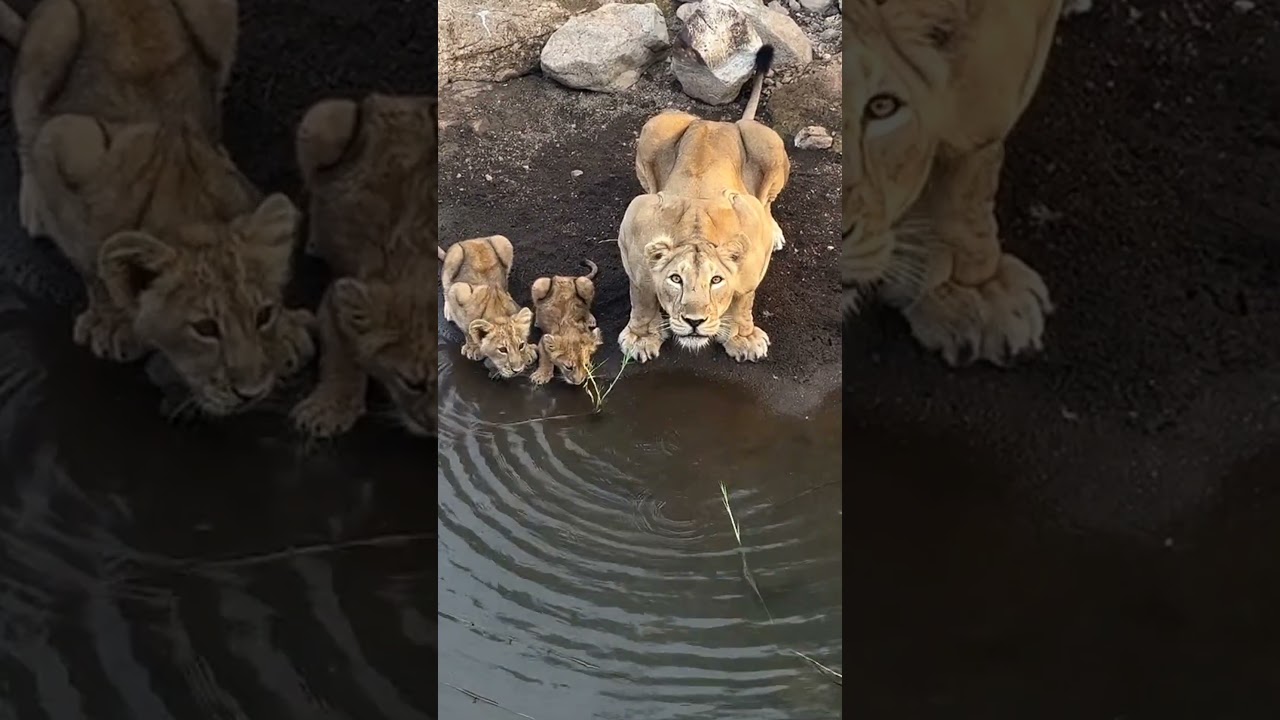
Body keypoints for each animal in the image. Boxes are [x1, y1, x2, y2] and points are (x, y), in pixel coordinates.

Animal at [1, 0, 314, 416]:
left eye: (263, 315)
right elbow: (90, 261)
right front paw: (111, 322)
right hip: (55, 32)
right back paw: (32, 204)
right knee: (26, 126)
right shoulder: (64, 143)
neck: (189, 214)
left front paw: (288, 333)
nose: (251, 392)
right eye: (205, 328)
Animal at [290, 94, 437, 439]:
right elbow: (339, 359)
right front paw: (327, 410)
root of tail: (390, 99)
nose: (433, 429)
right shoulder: (337, 296)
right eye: (413, 384)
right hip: (324, 119)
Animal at [439, 235, 537, 379]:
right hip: (454, 257)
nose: (517, 370)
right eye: (502, 350)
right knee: (446, 287)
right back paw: (448, 311)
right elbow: (466, 328)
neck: (497, 313)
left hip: (503, 241)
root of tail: (473, 240)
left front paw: (528, 351)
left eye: (521, 345)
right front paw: (473, 348)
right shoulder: (458, 291)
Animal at [617, 45, 789, 364]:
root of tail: (719, 123)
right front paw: (641, 338)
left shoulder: (750, 231)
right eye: (676, 279)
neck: (696, 233)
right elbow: (642, 294)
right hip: (656, 127)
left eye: (716, 280)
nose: (693, 321)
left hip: (770, 144)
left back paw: (775, 233)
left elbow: (744, 298)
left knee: (767, 200)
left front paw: (743, 338)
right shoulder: (635, 224)